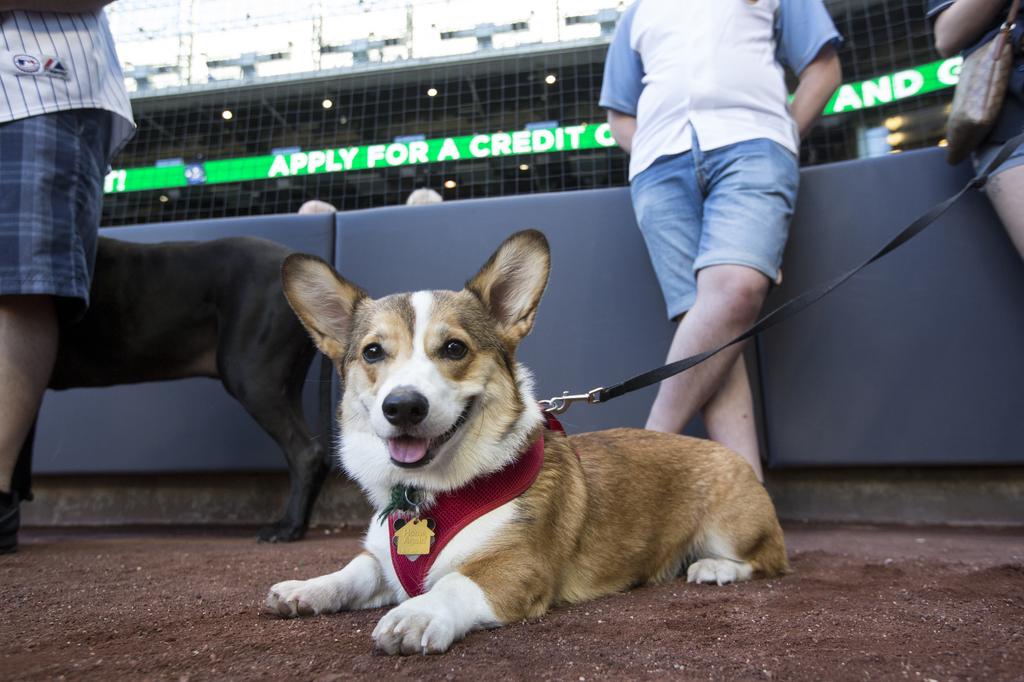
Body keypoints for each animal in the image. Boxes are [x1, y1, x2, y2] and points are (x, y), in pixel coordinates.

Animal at [262, 228, 782, 655]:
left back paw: (716, 568)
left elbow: (454, 583)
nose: (403, 406)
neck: (431, 494)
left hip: (733, 529)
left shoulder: (517, 567)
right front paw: (305, 589)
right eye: (372, 352)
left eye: (454, 348)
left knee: (768, 560)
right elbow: (353, 572)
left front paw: (418, 613)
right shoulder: (379, 562)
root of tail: (733, 456)